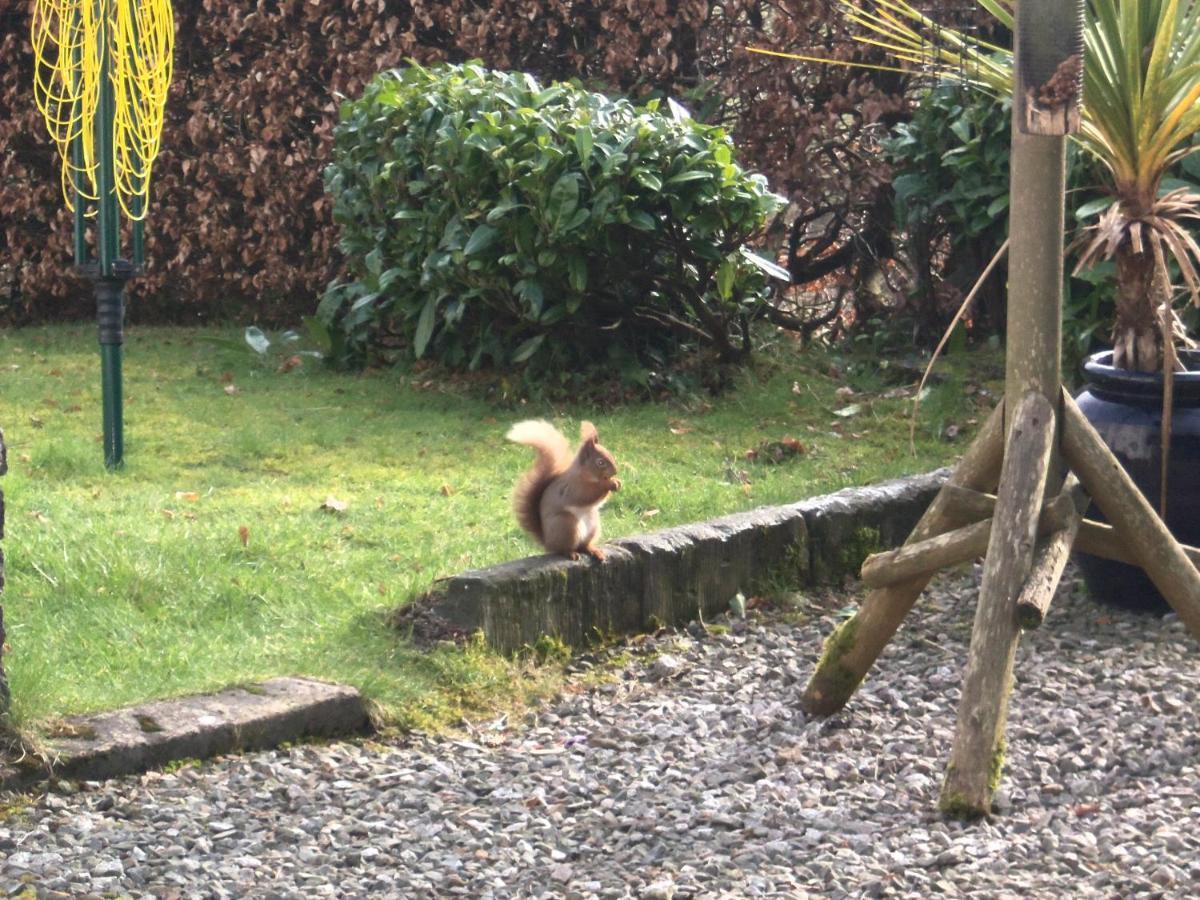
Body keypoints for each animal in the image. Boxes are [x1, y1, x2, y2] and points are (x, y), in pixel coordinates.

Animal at [504, 420, 619, 561]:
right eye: (600, 462)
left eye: (610, 454)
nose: (615, 471)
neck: (585, 475)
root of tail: (548, 543)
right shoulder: (572, 488)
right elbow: (586, 495)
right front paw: (609, 483)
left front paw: (617, 482)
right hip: (566, 525)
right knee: (564, 549)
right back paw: (571, 553)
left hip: (593, 525)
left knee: (584, 546)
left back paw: (594, 551)